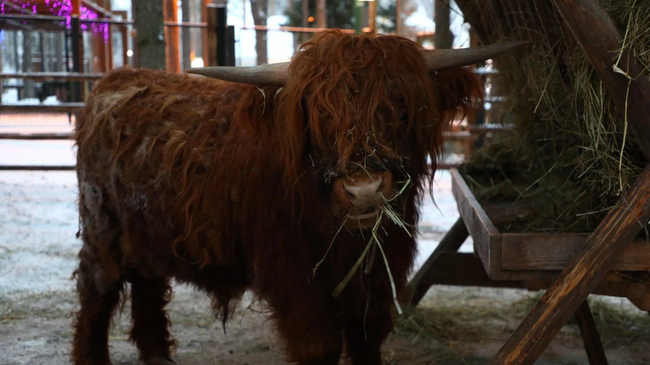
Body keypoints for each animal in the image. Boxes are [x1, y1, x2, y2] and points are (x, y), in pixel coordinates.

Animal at [69, 32, 520, 364]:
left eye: (400, 105)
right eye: (318, 113)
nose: (363, 190)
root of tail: (114, 79)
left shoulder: (379, 271)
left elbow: (367, 338)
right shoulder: (293, 276)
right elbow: (319, 346)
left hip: (148, 232)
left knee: (146, 282)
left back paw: (158, 355)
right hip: (101, 229)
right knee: (97, 291)